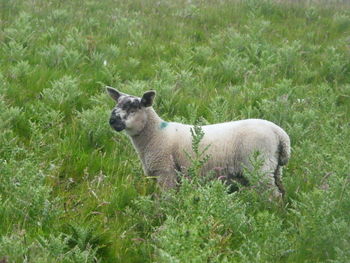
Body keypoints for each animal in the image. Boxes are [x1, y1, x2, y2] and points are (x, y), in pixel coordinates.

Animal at [106, 87, 290, 198]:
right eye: (117, 103)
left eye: (133, 108)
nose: (112, 120)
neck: (155, 135)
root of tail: (280, 134)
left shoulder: (166, 172)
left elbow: (166, 199)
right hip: (274, 168)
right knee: (281, 191)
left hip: (260, 166)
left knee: (273, 195)